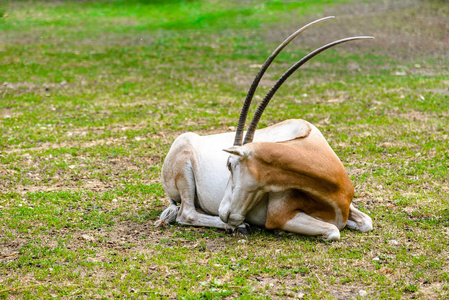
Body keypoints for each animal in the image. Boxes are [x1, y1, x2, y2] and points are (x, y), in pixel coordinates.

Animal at [156, 17, 372, 241]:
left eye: (230, 164)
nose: (224, 213)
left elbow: (366, 222)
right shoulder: (280, 215)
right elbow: (333, 230)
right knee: (186, 214)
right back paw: (239, 226)